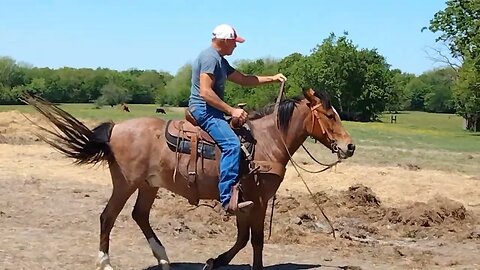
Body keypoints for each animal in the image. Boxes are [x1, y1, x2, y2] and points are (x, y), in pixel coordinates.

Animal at [22, 88, 354, 270]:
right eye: (330, 115)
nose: (349, 147)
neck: (265, 143)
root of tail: (116, 128)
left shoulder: (245, 201)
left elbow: (243, 238)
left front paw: (215, 261)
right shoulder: (258, 200)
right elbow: (255, 240)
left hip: (148, 185)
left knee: (139, 216)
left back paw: (163, 258)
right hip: (126, 183)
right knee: (108, 216)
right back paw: (106, 262)